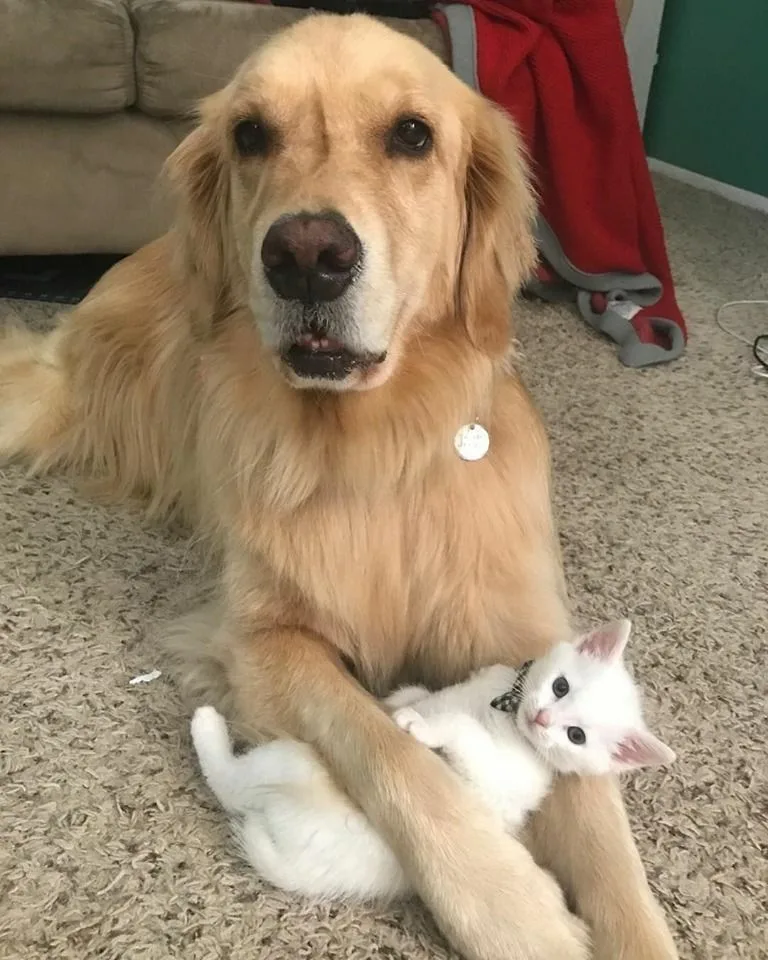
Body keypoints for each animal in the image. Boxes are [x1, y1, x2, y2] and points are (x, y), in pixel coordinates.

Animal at [190, 620, 672, 904]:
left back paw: (205, 726)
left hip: (294, 760)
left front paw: (421, 726)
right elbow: (426, 695)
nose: (542, 719)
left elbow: (460, 728)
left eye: (576, 736)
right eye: (560, 686)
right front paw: (400, 700)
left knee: (230, 784)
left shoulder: (494, 777)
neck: (503, 709)